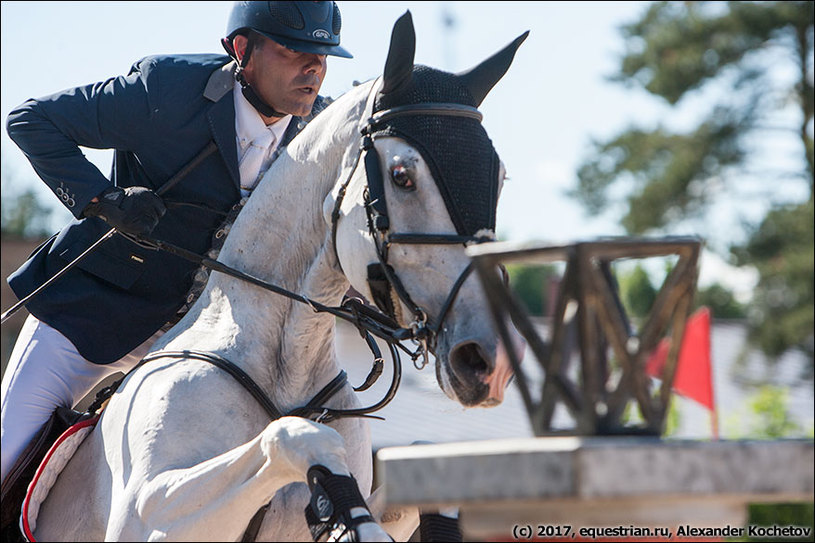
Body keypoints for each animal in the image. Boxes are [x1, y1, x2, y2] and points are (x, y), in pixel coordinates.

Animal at [28, 12, 524, 543]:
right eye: (402, 177)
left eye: (499, 179)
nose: (488, 362)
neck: (286, 363)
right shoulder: (145, 511)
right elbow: (296, 436)